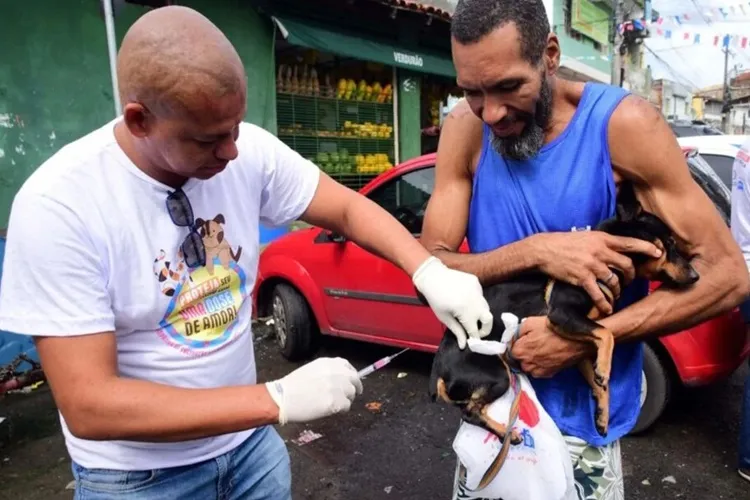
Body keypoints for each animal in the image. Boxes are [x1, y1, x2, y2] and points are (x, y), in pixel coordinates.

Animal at [432, 181, 704, 446]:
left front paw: (602, 414)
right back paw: (508, 433)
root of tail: (439, 369)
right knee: (470, 412)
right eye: (669, 244)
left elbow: (600, 382)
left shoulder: (578, 347)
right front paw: (605, 370)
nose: (696, 276)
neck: (608, 266)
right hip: (497, 374)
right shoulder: (562, 314)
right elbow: (607, 334)